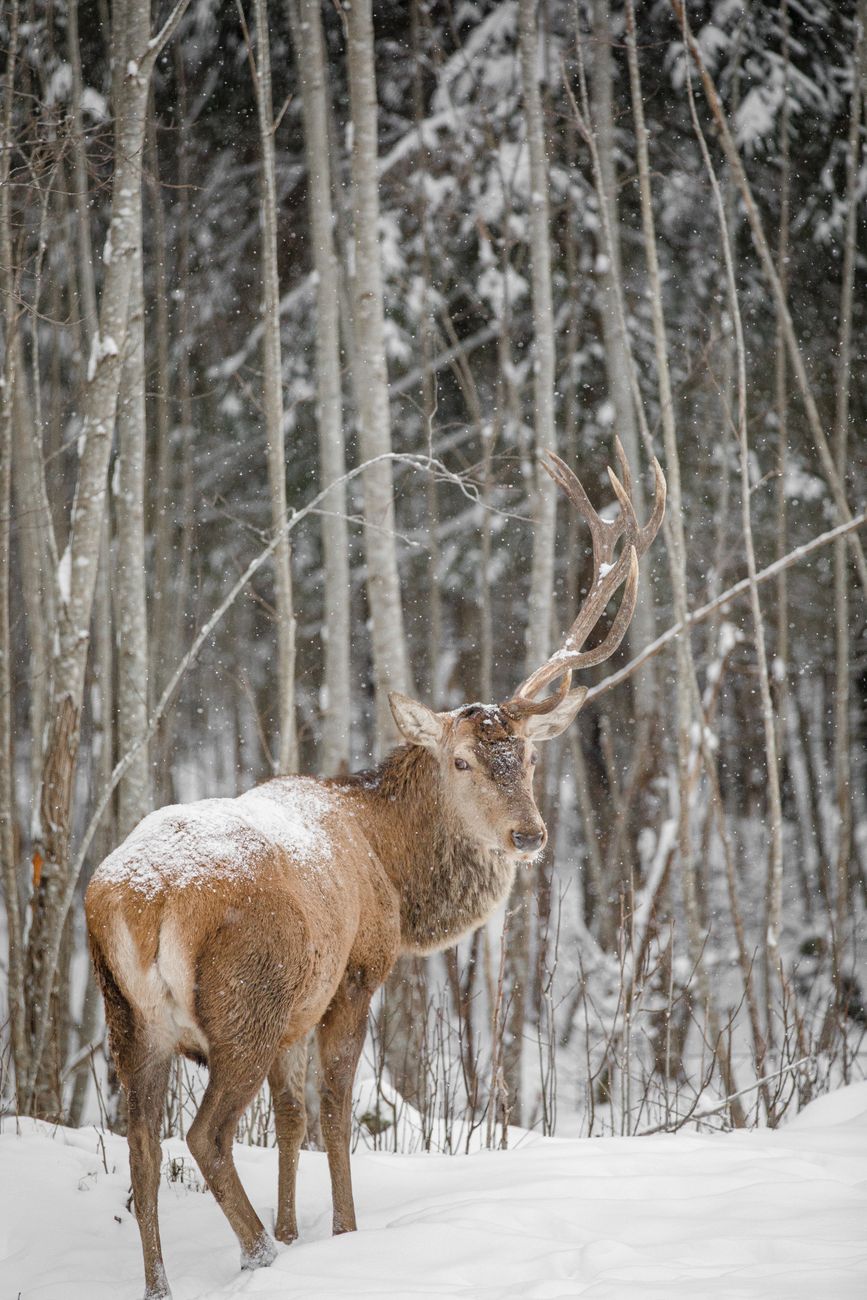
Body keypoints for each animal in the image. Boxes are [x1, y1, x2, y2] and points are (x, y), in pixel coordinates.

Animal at [85, 444, 665, 1299]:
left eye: (526, 756)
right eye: (460, 761)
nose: (528, 834)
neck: (388, 864)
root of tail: (140, 898)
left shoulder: (303, 1003)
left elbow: (291, 1116)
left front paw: (300, 1227)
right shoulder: (355, 972)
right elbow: (331, 1109)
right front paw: (340, 1233)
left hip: (129, 1014)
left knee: (142, 1143)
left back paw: (165, 1282)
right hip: (244, 1000)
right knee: (205, 1134)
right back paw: (259, 1254)